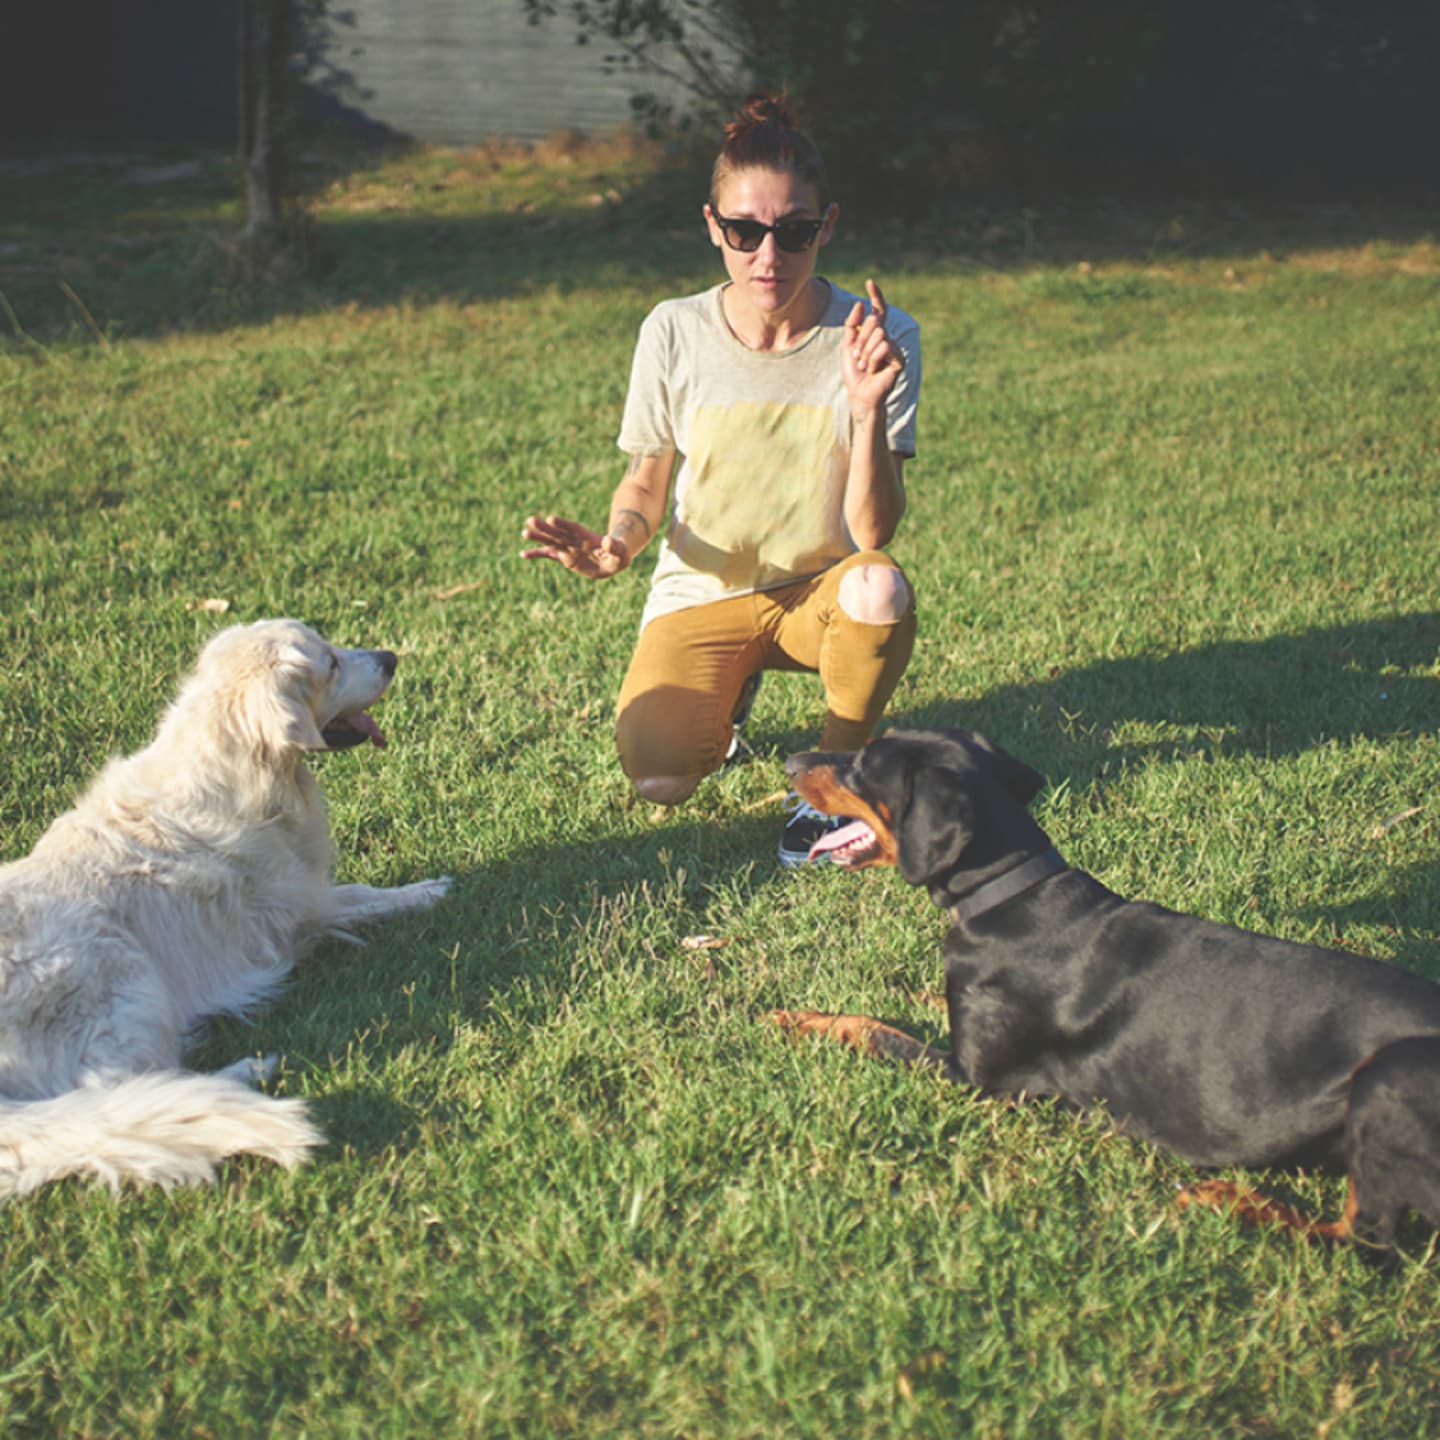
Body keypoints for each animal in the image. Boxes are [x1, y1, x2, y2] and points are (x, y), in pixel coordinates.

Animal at [0, 619, 449, 1192]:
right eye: (330, 663)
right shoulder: (299, 909)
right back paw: (248, 1073)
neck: (249, 771)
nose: (391, 657)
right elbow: (360, 897)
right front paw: (427, 892)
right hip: (124, 978)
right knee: (111, 1089)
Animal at [771, 725, 1440, 1244]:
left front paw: (801, 1019)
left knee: (1364, 1237)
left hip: (1387, 1078)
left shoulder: (977, 1079)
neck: (1010, 896)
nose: (791, 763)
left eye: (864, 766)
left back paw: (1228, 1201)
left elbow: (875, 1030)